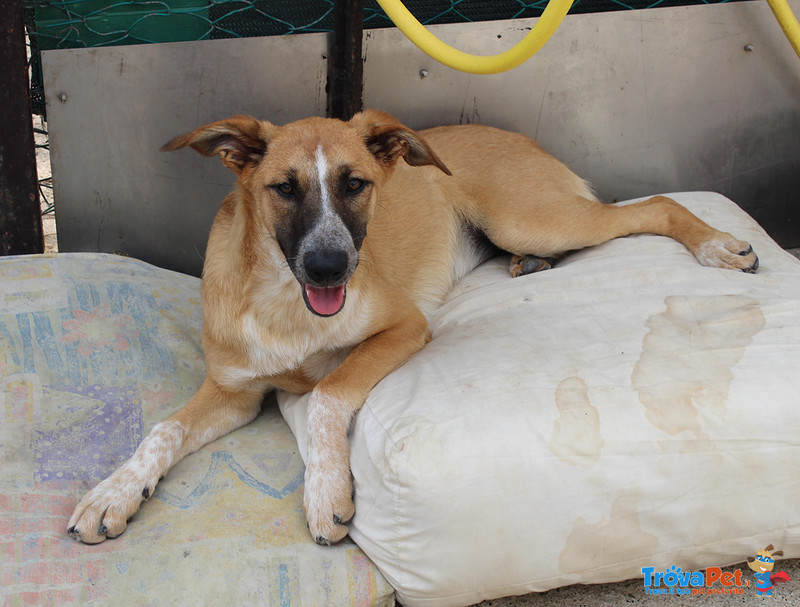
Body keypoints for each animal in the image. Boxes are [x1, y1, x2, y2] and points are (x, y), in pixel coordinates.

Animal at [67, 109, 756, 548]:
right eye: (283, 189)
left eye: (356, 184)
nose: (330, 266)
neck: (283, 302)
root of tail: (522, 139)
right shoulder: (233, 391)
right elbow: (163, 429)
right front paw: (111, 494)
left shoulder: (403, 327)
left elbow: (326, 394)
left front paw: (325, 492)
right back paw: (531, 265)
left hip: (532, 216)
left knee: (651, 206)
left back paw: (717, 246)